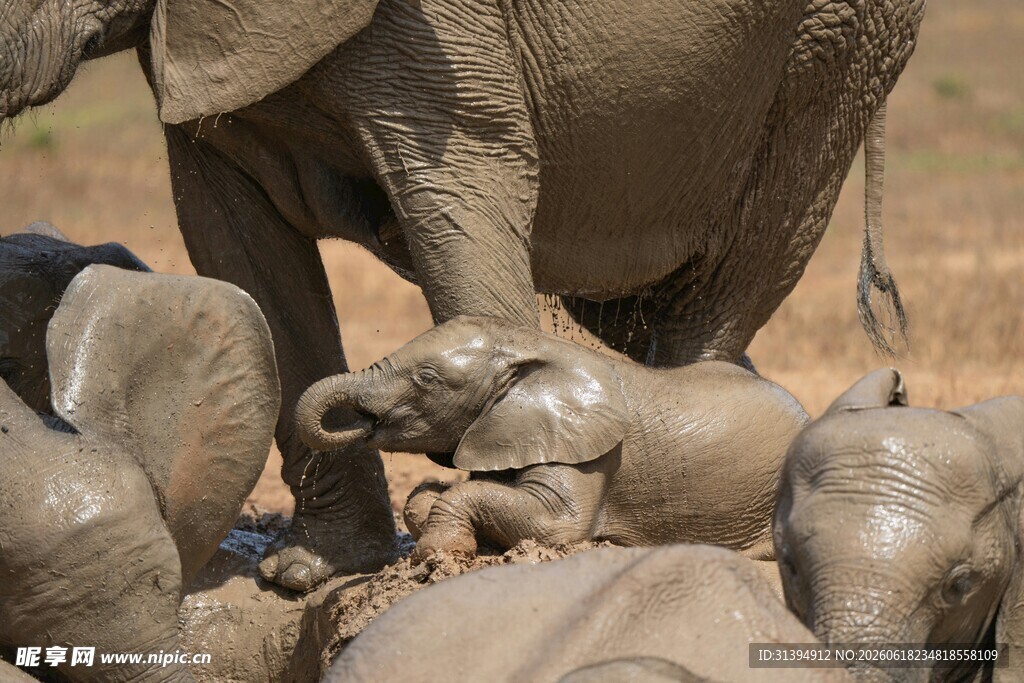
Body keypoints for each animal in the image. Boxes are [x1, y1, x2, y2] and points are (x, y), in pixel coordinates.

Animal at [295, 316, 809, 561]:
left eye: (426, 379)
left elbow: (557, 526)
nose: (360, 423)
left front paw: (440, 552)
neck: (532, 345)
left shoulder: (589, 451)